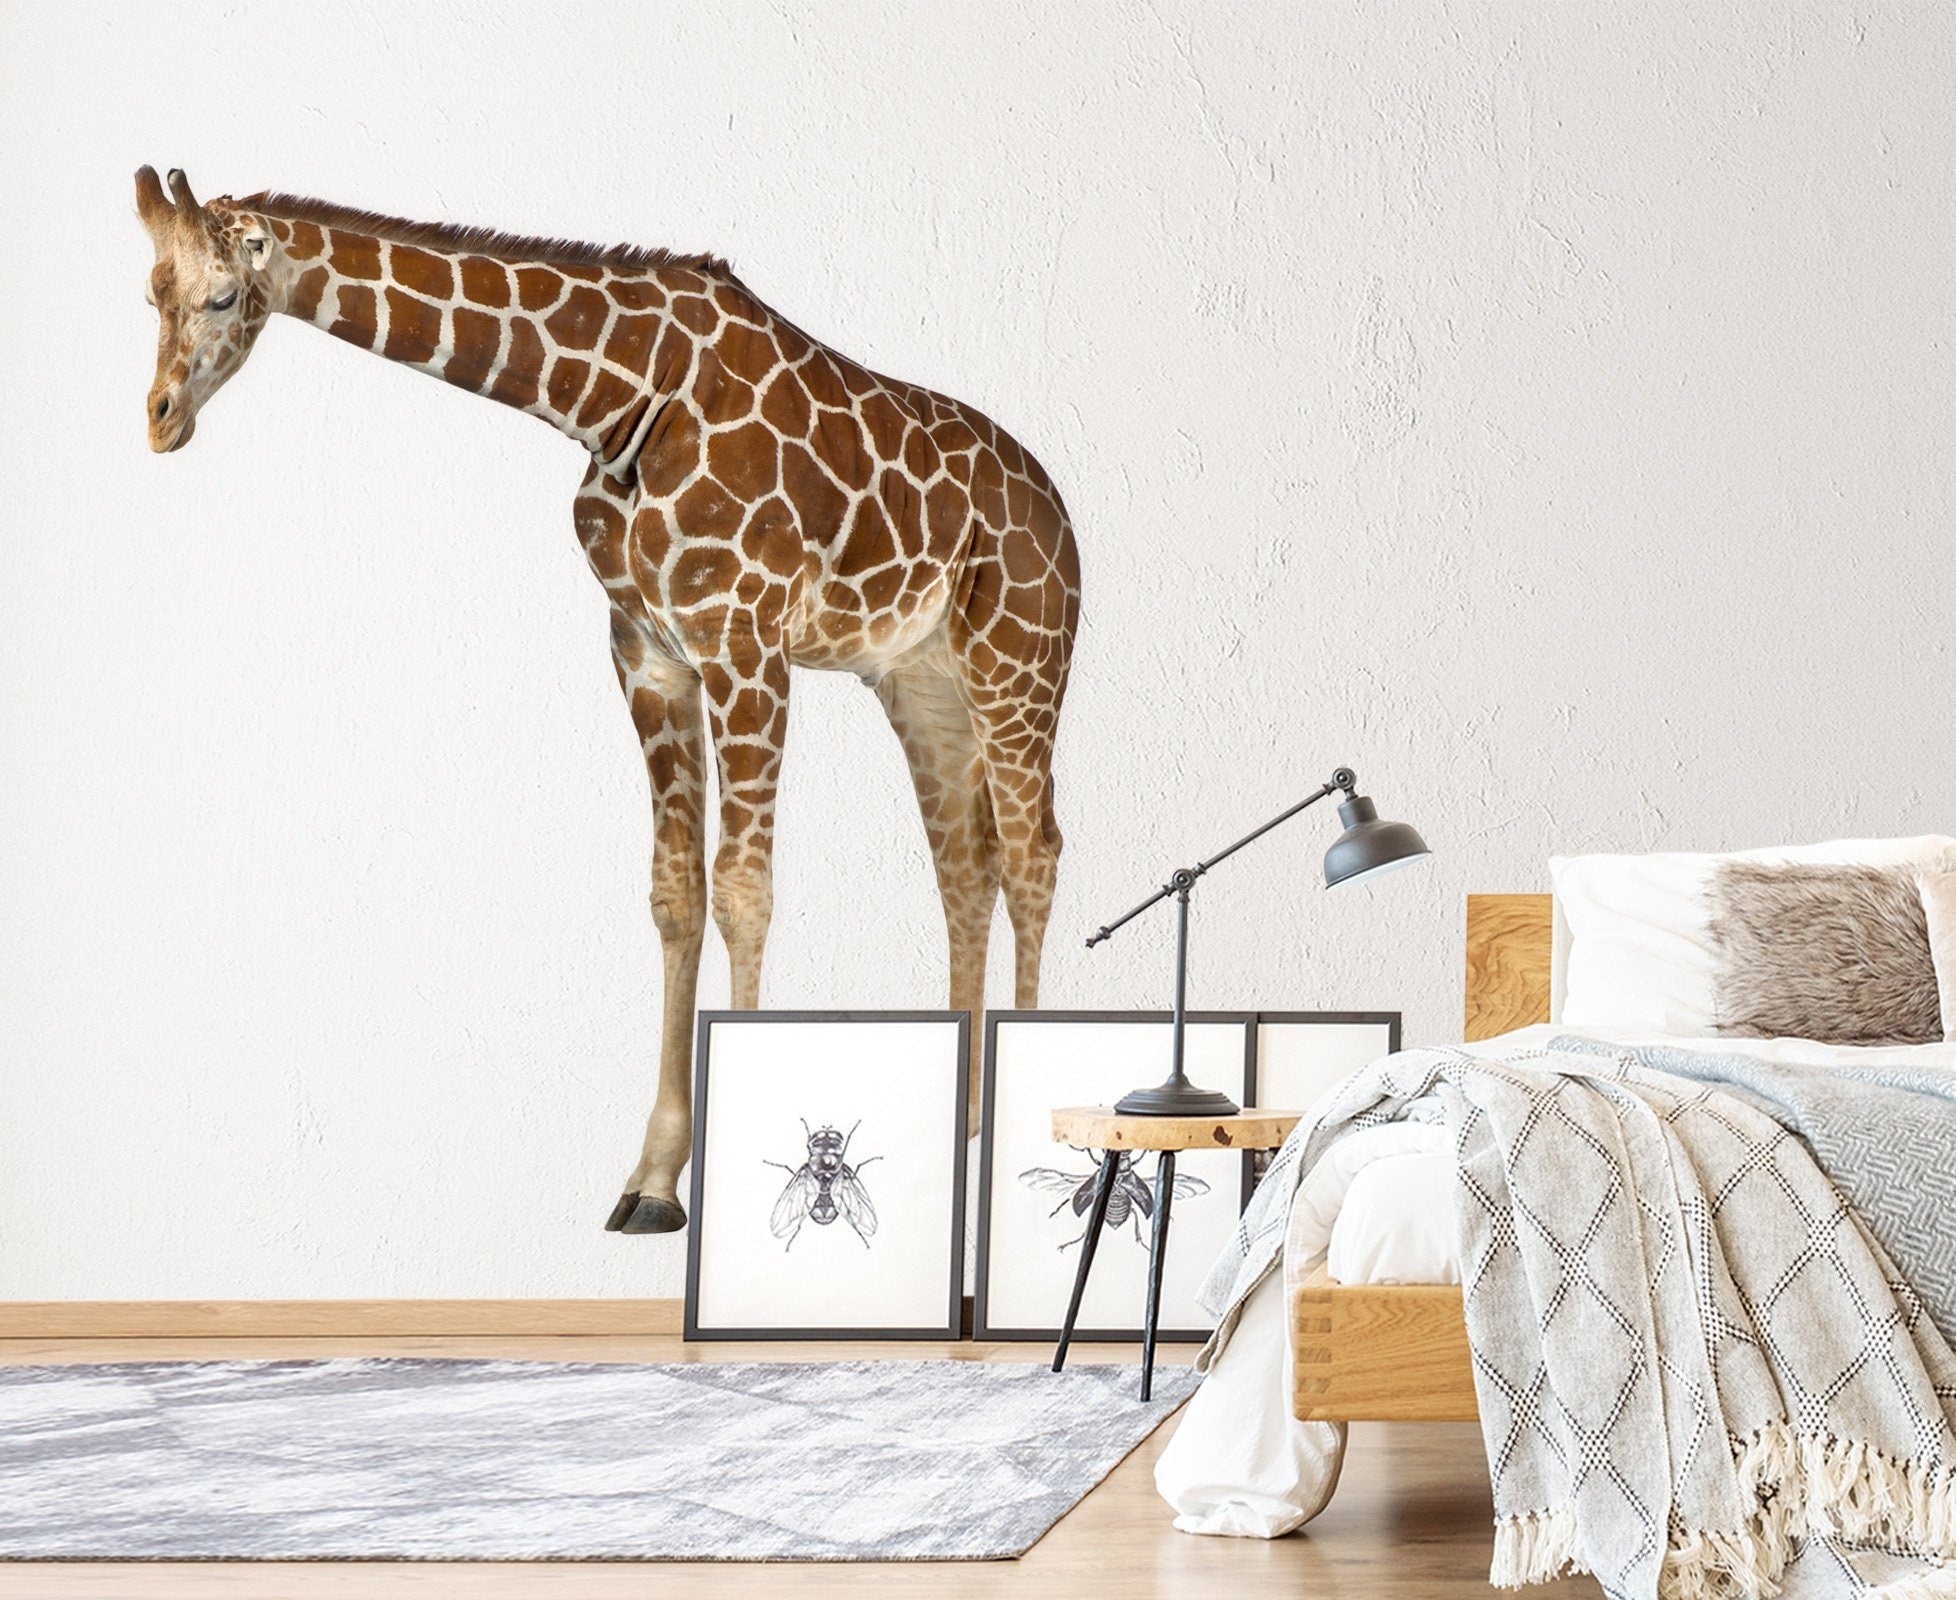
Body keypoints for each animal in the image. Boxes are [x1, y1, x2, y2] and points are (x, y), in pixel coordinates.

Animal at [134, 167, 1079, 1234]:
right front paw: (655, 1180)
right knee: (967, 863)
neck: (613, 399)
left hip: (1019, 665)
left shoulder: (746, 643)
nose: (159, 419)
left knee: (1034, 855)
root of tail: (1058, 508)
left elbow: (744, 890)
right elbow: (677, 894)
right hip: (923, 685)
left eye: (221, 297)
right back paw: (965, 1120)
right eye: (150, 294)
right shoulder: (649, 655)